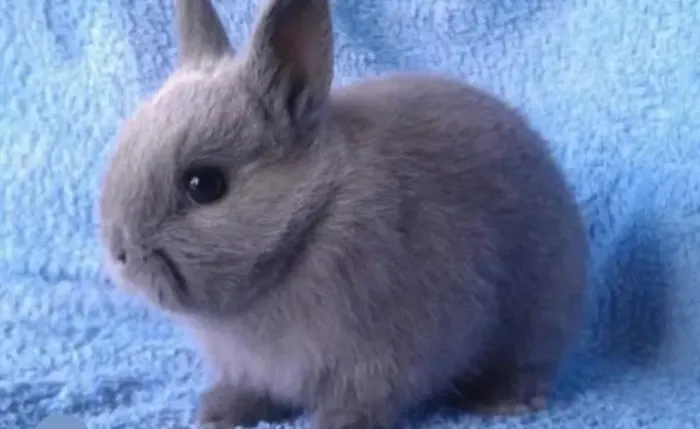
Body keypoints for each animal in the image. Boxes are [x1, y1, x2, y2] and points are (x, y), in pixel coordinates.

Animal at [97, 0, 589, 428]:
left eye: (204, 185)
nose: (120, 253)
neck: (309, 223)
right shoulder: (252, 366)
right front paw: (219, 412)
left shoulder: (384, 353)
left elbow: (366, 398)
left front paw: (334, 424)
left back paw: (505, 400)